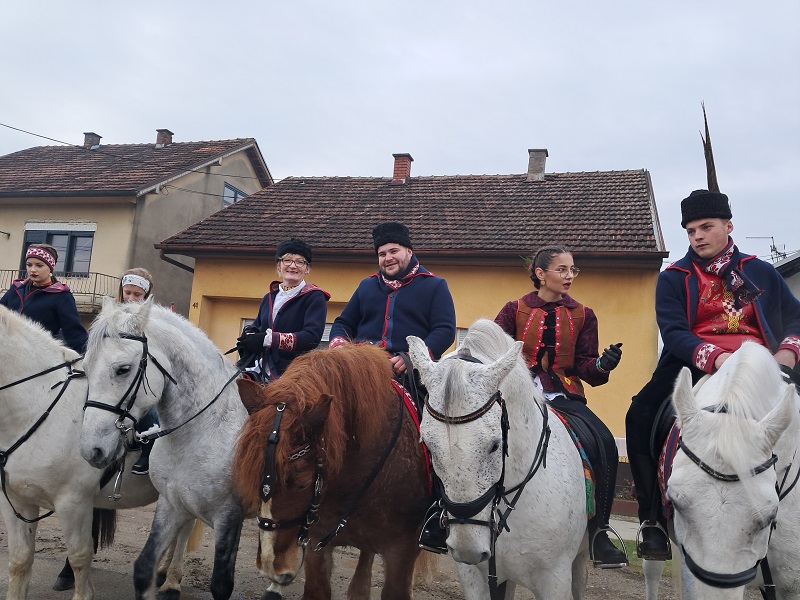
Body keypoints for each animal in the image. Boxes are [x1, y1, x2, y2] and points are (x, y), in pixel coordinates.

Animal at [77, 297, 264, 600]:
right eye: (85, 368)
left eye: (123, 369)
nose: (91, 450)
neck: (203, 429)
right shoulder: (171, 503)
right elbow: (144, 569)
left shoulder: (229, 515)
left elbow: (221, 584)